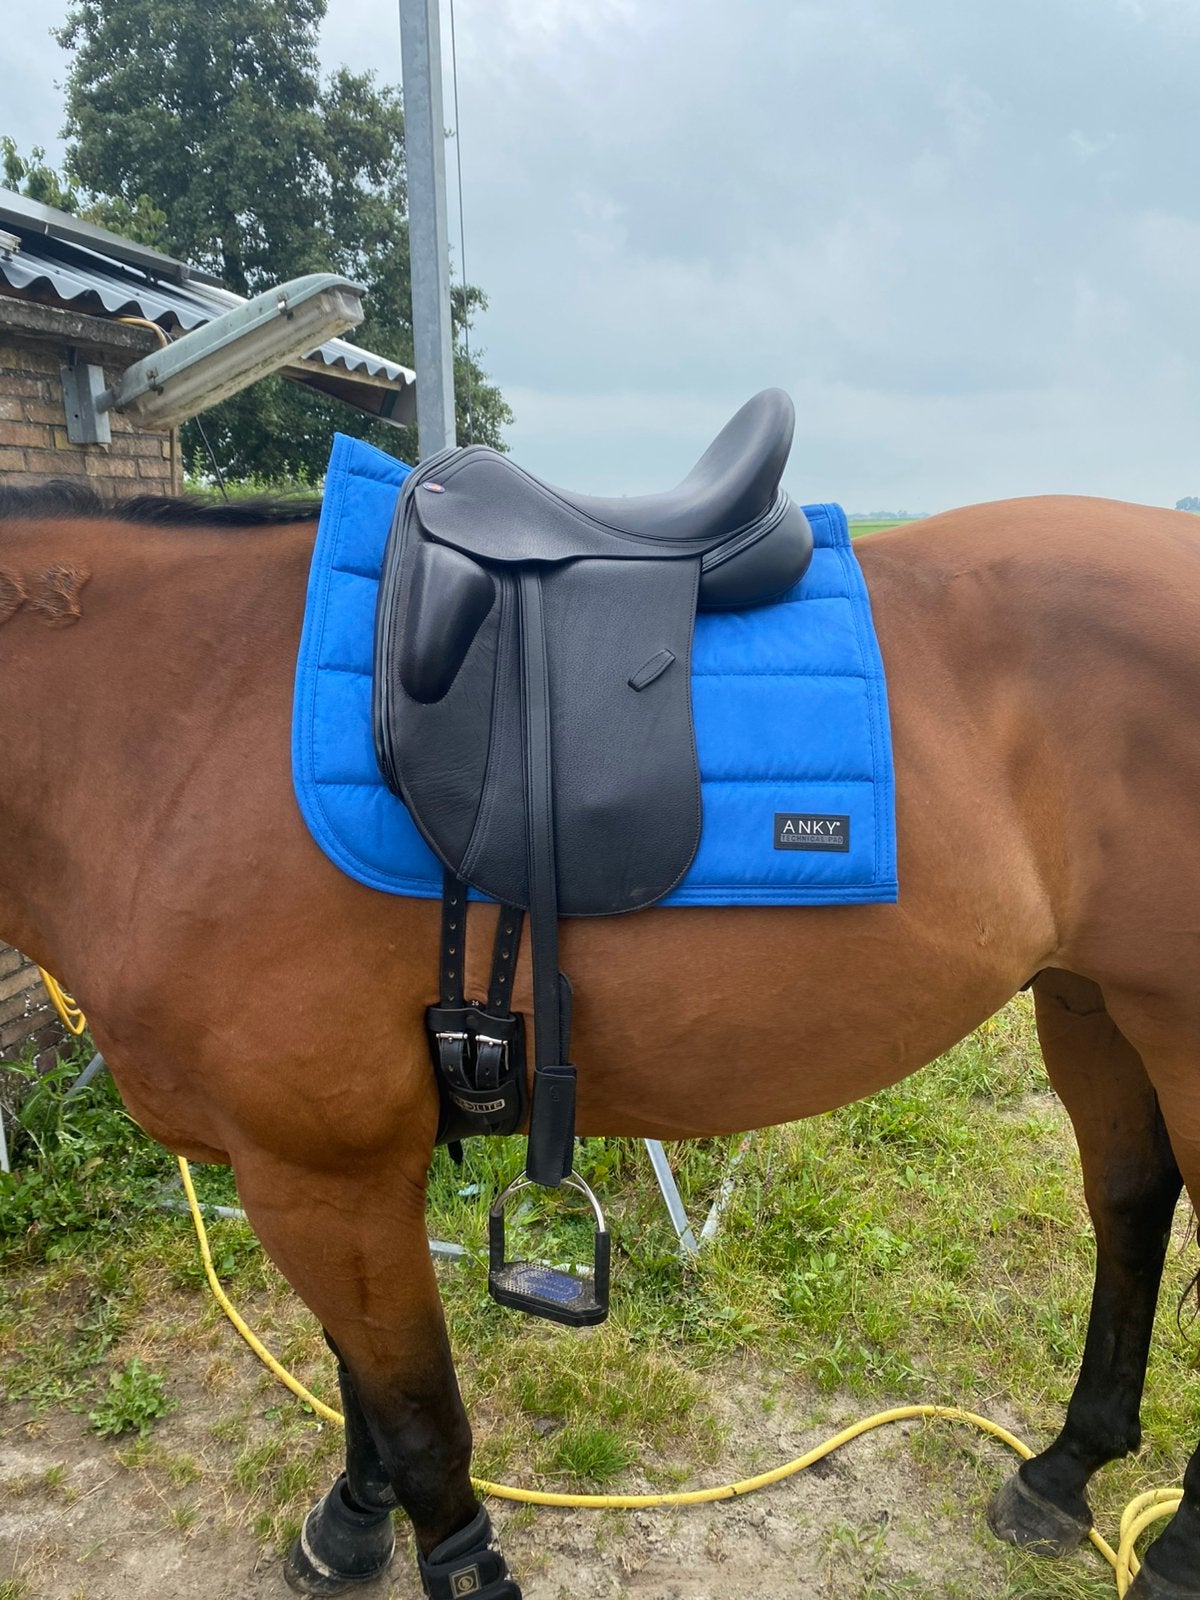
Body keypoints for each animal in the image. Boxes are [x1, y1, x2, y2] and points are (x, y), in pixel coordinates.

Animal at [0, 477, 1198, 1599]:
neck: (178, 735)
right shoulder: (313, 1174)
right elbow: (361, 1389)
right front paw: (350, 1522)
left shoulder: (322, 1171)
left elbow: (423, 1423)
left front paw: (459, 1565)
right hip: (1092, 1001)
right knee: (1133, 1203)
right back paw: (1061, 1473)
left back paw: (1172, 1554)